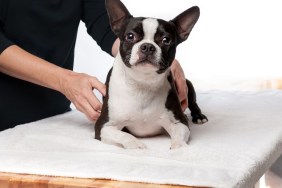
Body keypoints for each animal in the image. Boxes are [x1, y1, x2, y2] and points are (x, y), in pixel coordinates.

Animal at [94, 0, 207, 150]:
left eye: (166, 40)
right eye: (130, 36)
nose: (148, 46)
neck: (142, 83)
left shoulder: (178, 123)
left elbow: (179, 136)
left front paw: (178, 148)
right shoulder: (104, 126)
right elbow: (124, 135)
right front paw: (136, 146)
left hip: (187, 84)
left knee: (193, 102)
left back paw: (198, 116)